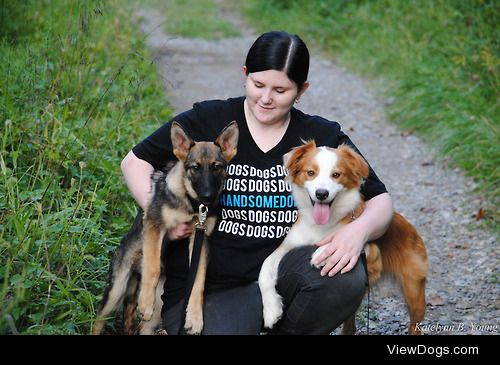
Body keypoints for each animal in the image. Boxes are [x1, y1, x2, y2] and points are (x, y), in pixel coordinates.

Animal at [93, 121, 239, 334]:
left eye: (217, 167)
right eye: (195, 168)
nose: (207, 197)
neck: (191, 204)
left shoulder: (200, 239)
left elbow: (198, 281)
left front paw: (195, 318)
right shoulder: (155, 226)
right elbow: (152, 267)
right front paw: (145, 304)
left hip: (156, 311)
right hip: (117, 289)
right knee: (98, 319)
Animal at [260, 141, 428, 334]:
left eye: (336, 174)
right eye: (310, 172)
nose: (322, 193)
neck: (321, 225)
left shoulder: (372, 256)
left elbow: (343, 240)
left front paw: (322, 252)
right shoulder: (289, 246)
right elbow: (264, 267)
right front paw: (271, 310)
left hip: (414, 293)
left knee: (415, 323)